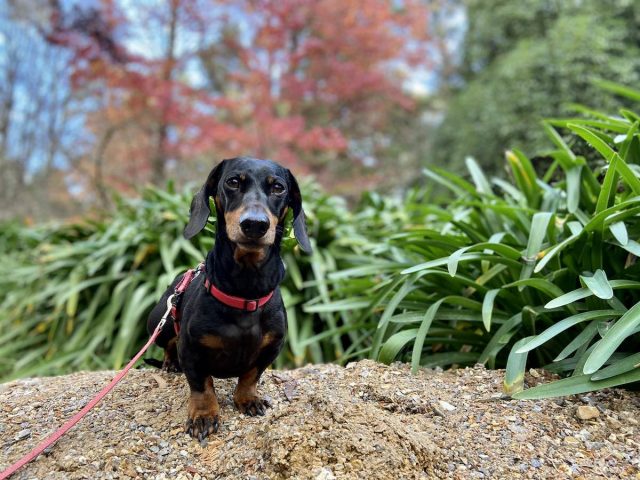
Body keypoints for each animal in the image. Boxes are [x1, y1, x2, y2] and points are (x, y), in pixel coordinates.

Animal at [148, 157, 312, 438]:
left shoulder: (271, 347)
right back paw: (170, 363)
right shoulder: (191, 350)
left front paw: (248, 399)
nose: (255, 224)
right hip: (162, 323)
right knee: (169, 343)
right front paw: (203, 416)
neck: (245, 288)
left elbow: (250, 376)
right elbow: (202, 385)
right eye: (233, 182)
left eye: (278, 188)